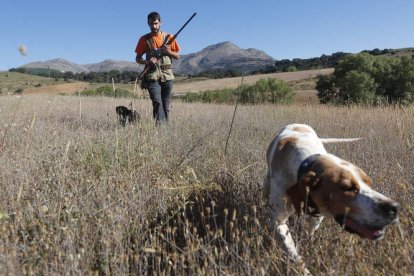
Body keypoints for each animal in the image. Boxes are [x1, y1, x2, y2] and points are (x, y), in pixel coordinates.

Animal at [264, 124, 400, 264]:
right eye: (347, 188)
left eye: (369, 183)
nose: (394, 208)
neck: (306, 162)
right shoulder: (277, 221)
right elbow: (293, 254)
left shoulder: (318, 213)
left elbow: (310, 231)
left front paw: (308, 245)